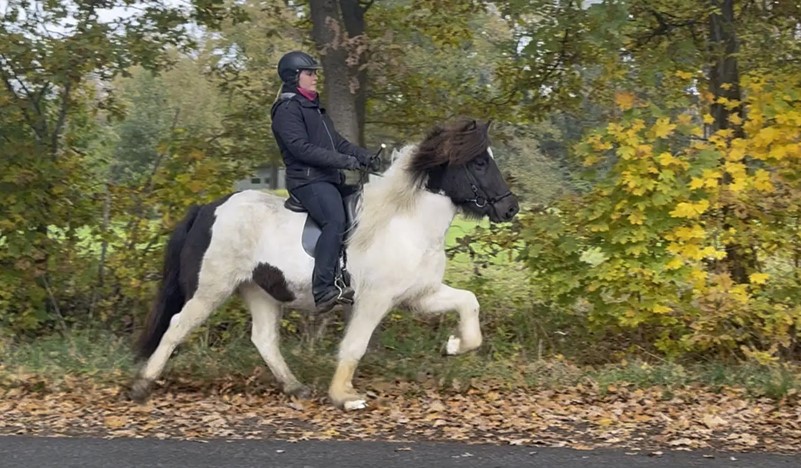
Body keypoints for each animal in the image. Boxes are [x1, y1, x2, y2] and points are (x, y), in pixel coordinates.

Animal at [129, 117, 520, 410]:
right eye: (480, 162)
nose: (510, 208)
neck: (405, 222)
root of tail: (207, 209)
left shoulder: (420, 295)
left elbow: (469, 302)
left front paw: (454, 345)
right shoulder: (374, 300)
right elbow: (355, 345)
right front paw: (344, 397)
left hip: (260, 291)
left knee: (264, 339)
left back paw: (296, 388)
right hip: (211, 288)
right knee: (177, 326)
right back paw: (142, 385)